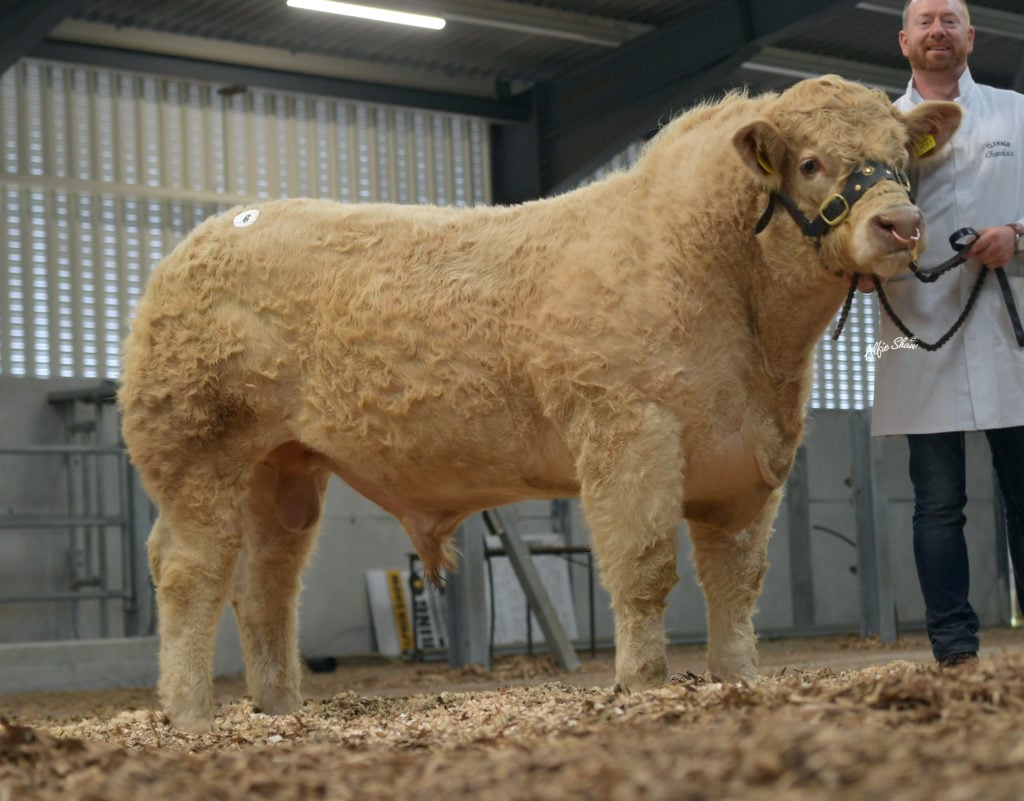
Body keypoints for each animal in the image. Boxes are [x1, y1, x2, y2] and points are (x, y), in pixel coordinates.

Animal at [119, 75, 961, 732]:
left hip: (284, 465)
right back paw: (189, 712)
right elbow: (644, 566)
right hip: (196, 450)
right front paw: (643, 682)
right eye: (812, 162)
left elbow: (736, 581)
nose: (901, 223)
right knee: (189, 569)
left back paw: (279, 706)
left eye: (903, 160)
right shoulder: (629, 433)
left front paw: (737, 678)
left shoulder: (751, 462)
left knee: (268, 579)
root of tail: (198, 239)